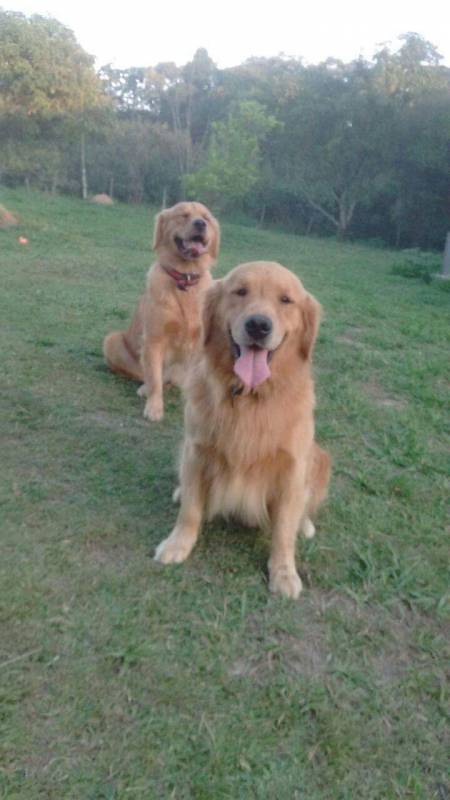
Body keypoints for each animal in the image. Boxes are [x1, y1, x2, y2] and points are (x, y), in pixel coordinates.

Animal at [102, 203, 221, 422]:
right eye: (183, 215)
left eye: (207, 218)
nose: (200, 224)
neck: (185, 279)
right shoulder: (154, 338)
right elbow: (155, 379)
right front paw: (154, 407)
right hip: (112, 340)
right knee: (148, 376)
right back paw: (144, 388)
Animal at [155, 260, 330, 596]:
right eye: (240, 292)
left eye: (286, 300)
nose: (258, 325)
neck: (249, 396)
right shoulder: (196, 450)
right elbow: (191, 510)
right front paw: (177, 544)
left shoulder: (292, 466)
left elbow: (284, 529)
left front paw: (283, 572)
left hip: (320, 459)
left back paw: (305, 524)